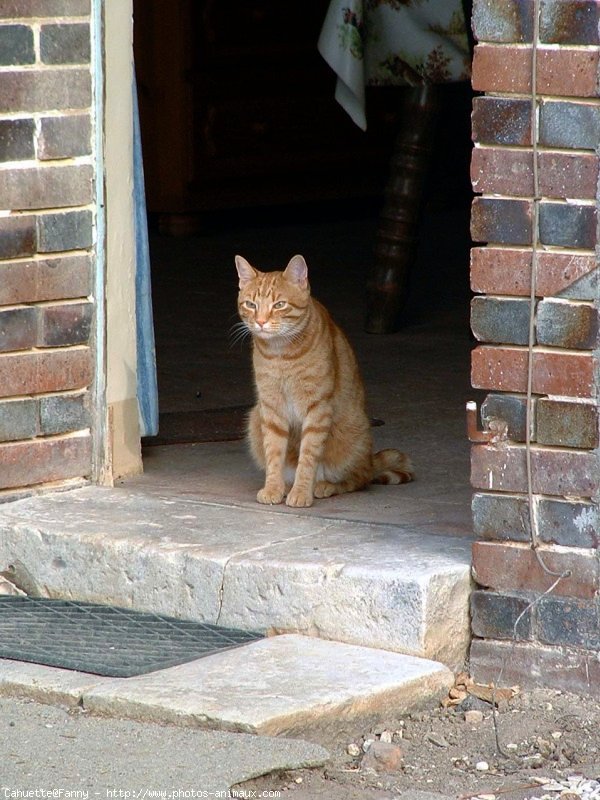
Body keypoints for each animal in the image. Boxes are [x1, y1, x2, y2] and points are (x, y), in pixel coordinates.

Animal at [234, 253, 412, 510]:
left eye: (279, 305)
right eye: (250, 305)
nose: (260, 321)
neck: (281, 354)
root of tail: (370, 460)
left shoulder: (317, 409)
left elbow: (308, 458)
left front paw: (301, 492)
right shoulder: (271, 408)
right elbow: (274, 454)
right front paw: (273, 488)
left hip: (352, 435)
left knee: (359, 479)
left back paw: (324, 486)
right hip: (255, 417)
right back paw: (287, 486)